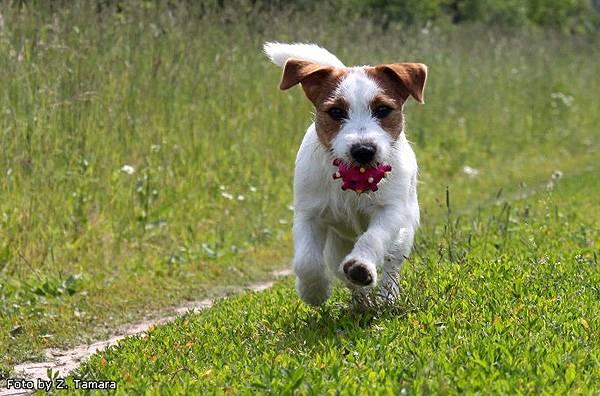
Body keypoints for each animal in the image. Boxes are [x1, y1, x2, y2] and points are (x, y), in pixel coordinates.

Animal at [264, 43, 426, 308]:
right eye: (336, 112)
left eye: (383, 110)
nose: (363, 150)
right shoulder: (309, 215)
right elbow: (307, 261)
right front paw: (313, 291)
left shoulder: (391, 211)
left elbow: (373, 238)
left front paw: (361, 266)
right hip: (336, 244)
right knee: (339, 269)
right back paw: (360, 302)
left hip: (405, 229)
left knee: (391, 263)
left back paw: (385, 297)